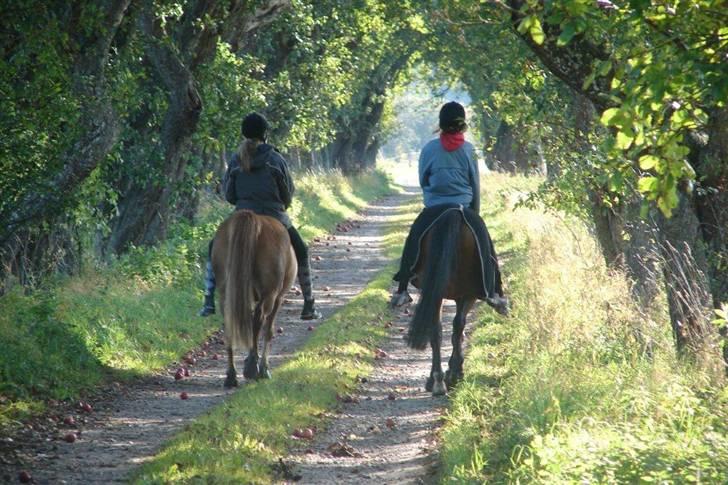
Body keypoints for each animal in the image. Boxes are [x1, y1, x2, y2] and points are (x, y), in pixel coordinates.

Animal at [212, 208, 298, 386]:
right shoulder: (278, 298)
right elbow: (269, 330)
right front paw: (263, 368)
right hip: (270, 294)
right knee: (259, 321)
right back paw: (254, 367)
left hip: (225, 292)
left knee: (230, 324)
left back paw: (231, 375)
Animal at [406, 210, 486, 396]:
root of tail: (453, 214)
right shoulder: (468, 294)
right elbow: (458, 329)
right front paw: (454, 372)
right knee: (450, 328)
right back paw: (446, 378)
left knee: (439, 329)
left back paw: (438, 381)